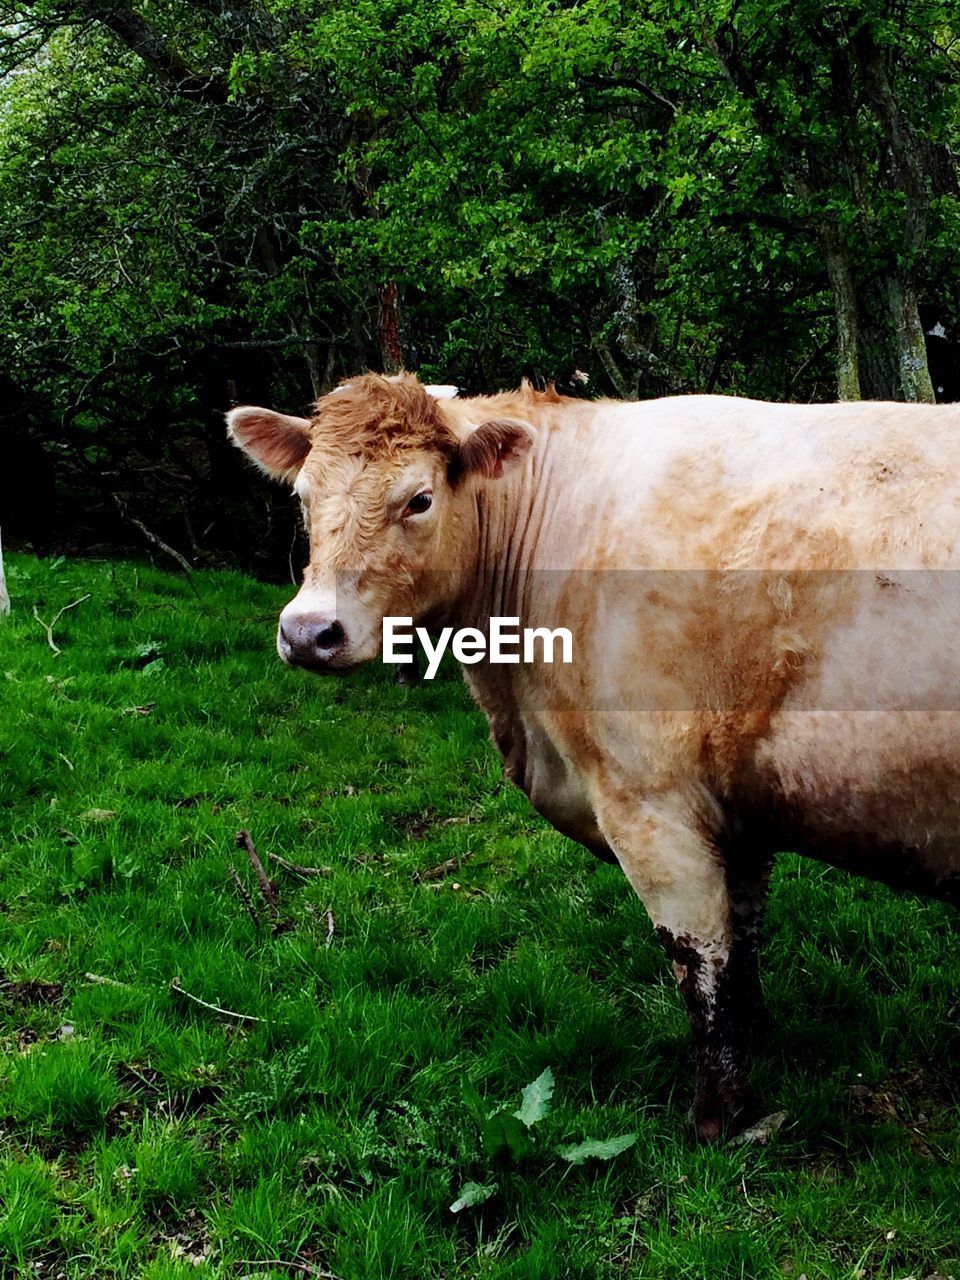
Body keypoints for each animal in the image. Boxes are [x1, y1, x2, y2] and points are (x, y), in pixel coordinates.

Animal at [227, 371, 960, 1141]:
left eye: (419, 499)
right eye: (303, 496)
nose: (308, 632)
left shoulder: (651, 802)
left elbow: (701, 957)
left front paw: (719, 1119)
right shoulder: (740, 802)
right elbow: (744, 940)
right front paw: (758, 1040)